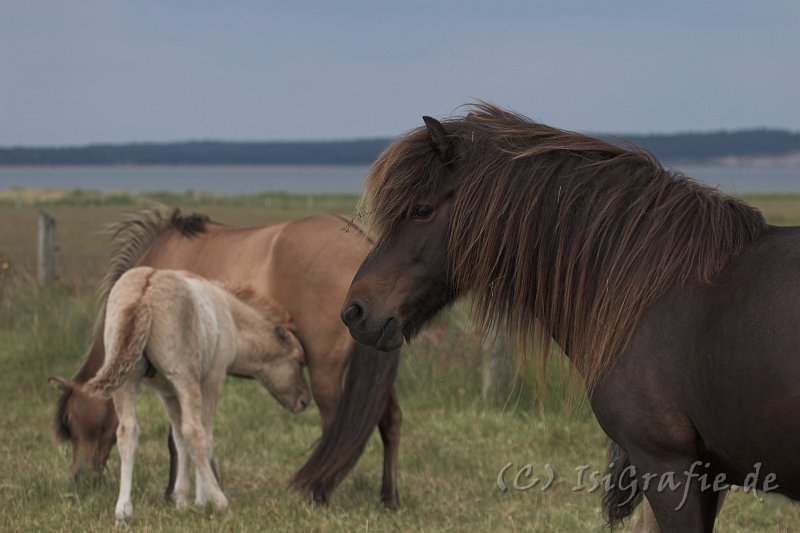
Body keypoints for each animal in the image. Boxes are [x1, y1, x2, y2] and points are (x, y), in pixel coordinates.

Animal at [49, 208, 400, 508]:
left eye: (77, 423)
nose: (79, 482)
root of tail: (365, 244)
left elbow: (178, 436)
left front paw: (179, 493)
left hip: (325, 373)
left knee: (335, 429)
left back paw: (321, 494)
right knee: (389, 422)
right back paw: (388, 499)